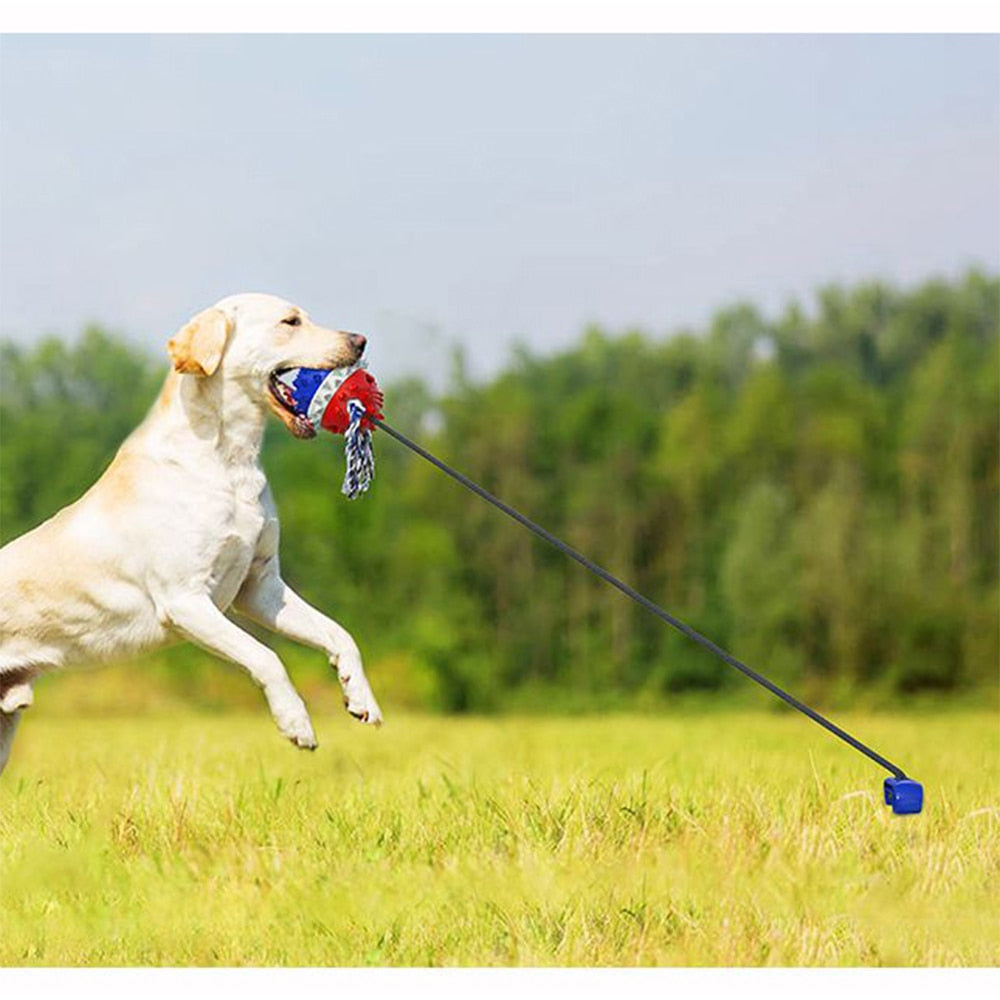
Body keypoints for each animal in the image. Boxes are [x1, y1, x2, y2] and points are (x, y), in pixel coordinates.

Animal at [0, 290, 382, 772]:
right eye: (290, 322)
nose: (360, 340)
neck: (229, 459)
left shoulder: (261, 586)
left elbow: (339, 633)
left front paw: (360, 697)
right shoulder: (186, 601)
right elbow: (267, 657)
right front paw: (296, 723)